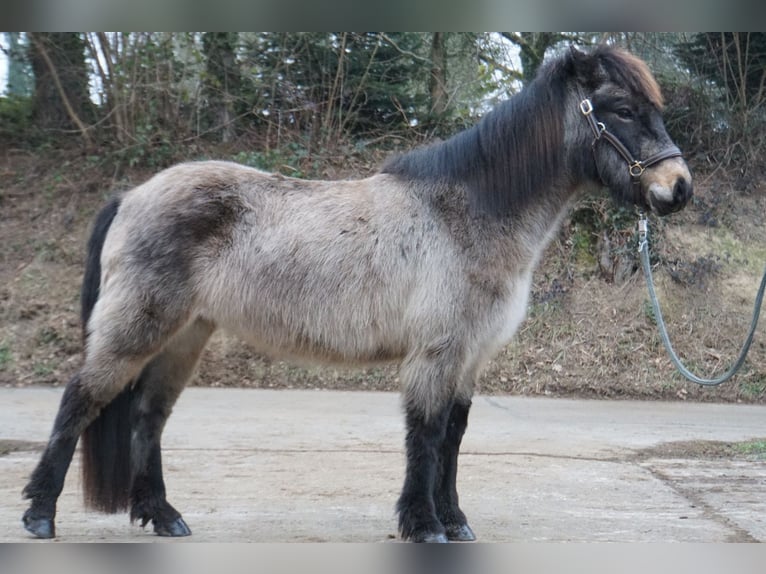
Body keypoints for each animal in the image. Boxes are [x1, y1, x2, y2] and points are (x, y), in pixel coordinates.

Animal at [21, 46, 692, 544]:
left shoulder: (468, 357)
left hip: (185, 335)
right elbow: (426, 435)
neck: (468, 210)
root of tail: (132, 194)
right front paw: (423, 525)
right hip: (140, 327)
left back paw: (163, 516)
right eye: (622, 109)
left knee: (147, 417)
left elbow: (453, 437)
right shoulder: (436, 352)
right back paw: (40, 515)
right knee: (80, 400)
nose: (678, 188)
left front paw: (454, 522)